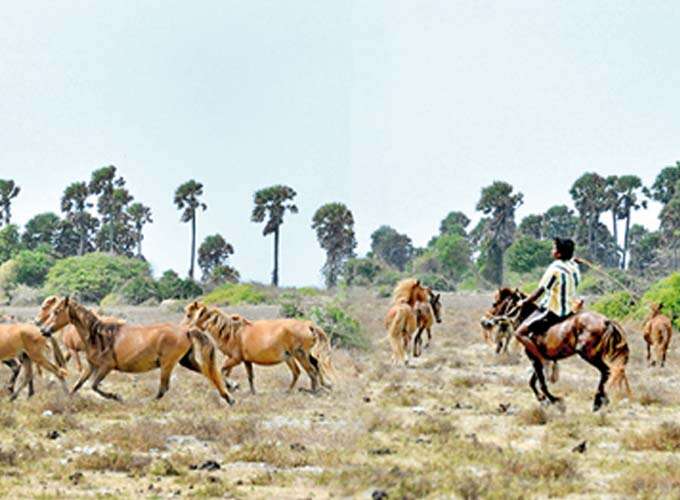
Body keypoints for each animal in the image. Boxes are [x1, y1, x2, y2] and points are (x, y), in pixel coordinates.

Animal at [37, 296, 234, 405]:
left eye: (57, 311)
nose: (44, 330)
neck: (97, 335)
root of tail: (186, 330)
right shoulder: (92, 366)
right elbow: (78, 385)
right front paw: (67, 400)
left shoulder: (106, 367)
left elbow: (94, 386)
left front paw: (117, 397)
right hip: (186, 361)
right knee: (209, 373)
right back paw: (229, 396)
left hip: (168, 363)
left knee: (163, 389)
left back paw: (145, 403)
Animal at [183, 301, 333, 394]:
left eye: (189, 315)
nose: (185, 330)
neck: (232, 332)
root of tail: (308, 325)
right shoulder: (245, 361)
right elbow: (248, 376)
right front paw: (249, 391)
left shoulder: (235, 359)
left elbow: (222, 371)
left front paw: (233, 386)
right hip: (292, 357)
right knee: (306, 369)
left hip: (300, 355)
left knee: (311, 370)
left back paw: (313, 391)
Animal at [484, 292, 631, 411]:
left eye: (495, 303)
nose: (485, 321)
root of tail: (606, 321)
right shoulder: (541, 359)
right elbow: (533, 382)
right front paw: (543, 400)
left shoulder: (534, 358)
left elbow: (541, 383)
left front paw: (555, 401)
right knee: (606, 373)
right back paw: (602, 399)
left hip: (588, 354)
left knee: (605, 371)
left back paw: (597, 401)